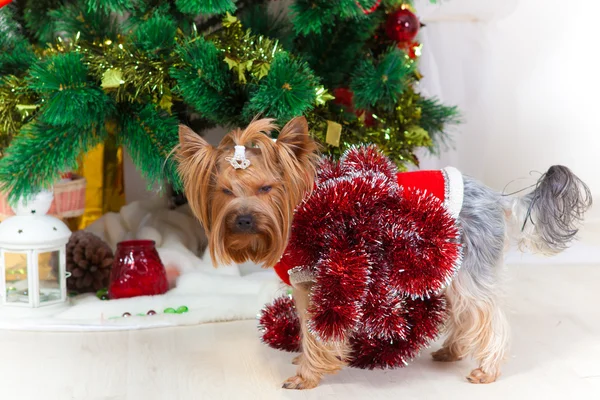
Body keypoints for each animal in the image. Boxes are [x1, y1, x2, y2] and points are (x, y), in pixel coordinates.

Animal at [177, 116, 592, 390]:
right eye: (225, 192)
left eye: (266, 188)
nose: (244, 219)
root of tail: (495, 197)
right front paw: (305, 359)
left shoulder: (316, 277)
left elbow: (316, 328)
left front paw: (307, 374)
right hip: (446, 263)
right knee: (463, 311)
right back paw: (451, 351)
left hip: (467, 264)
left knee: (487, 315)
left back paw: (486, 371)